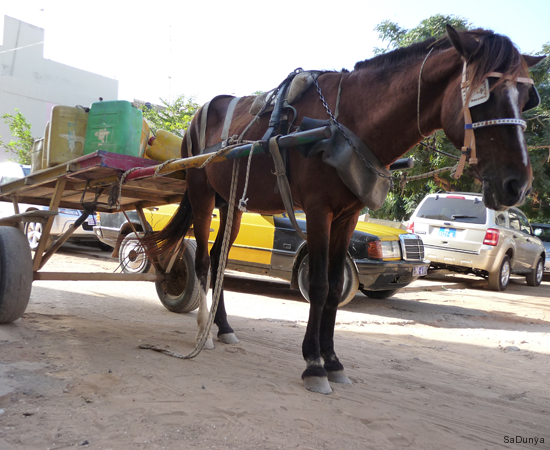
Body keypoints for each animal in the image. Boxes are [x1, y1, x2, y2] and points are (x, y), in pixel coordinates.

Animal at [150, 25, 548, 394]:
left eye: (527, 97)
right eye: (485, 93)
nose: (518, 184)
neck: (348, 122)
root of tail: (199, 114)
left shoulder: (348, 216)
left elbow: (333, 288)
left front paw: (333, 361)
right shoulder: (318, 210)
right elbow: (320, 284)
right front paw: (313, 365)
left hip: (232, 202)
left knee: (219, 259)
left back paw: (224, 327)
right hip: (202, 195)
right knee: (204, 261)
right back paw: (203, 330)